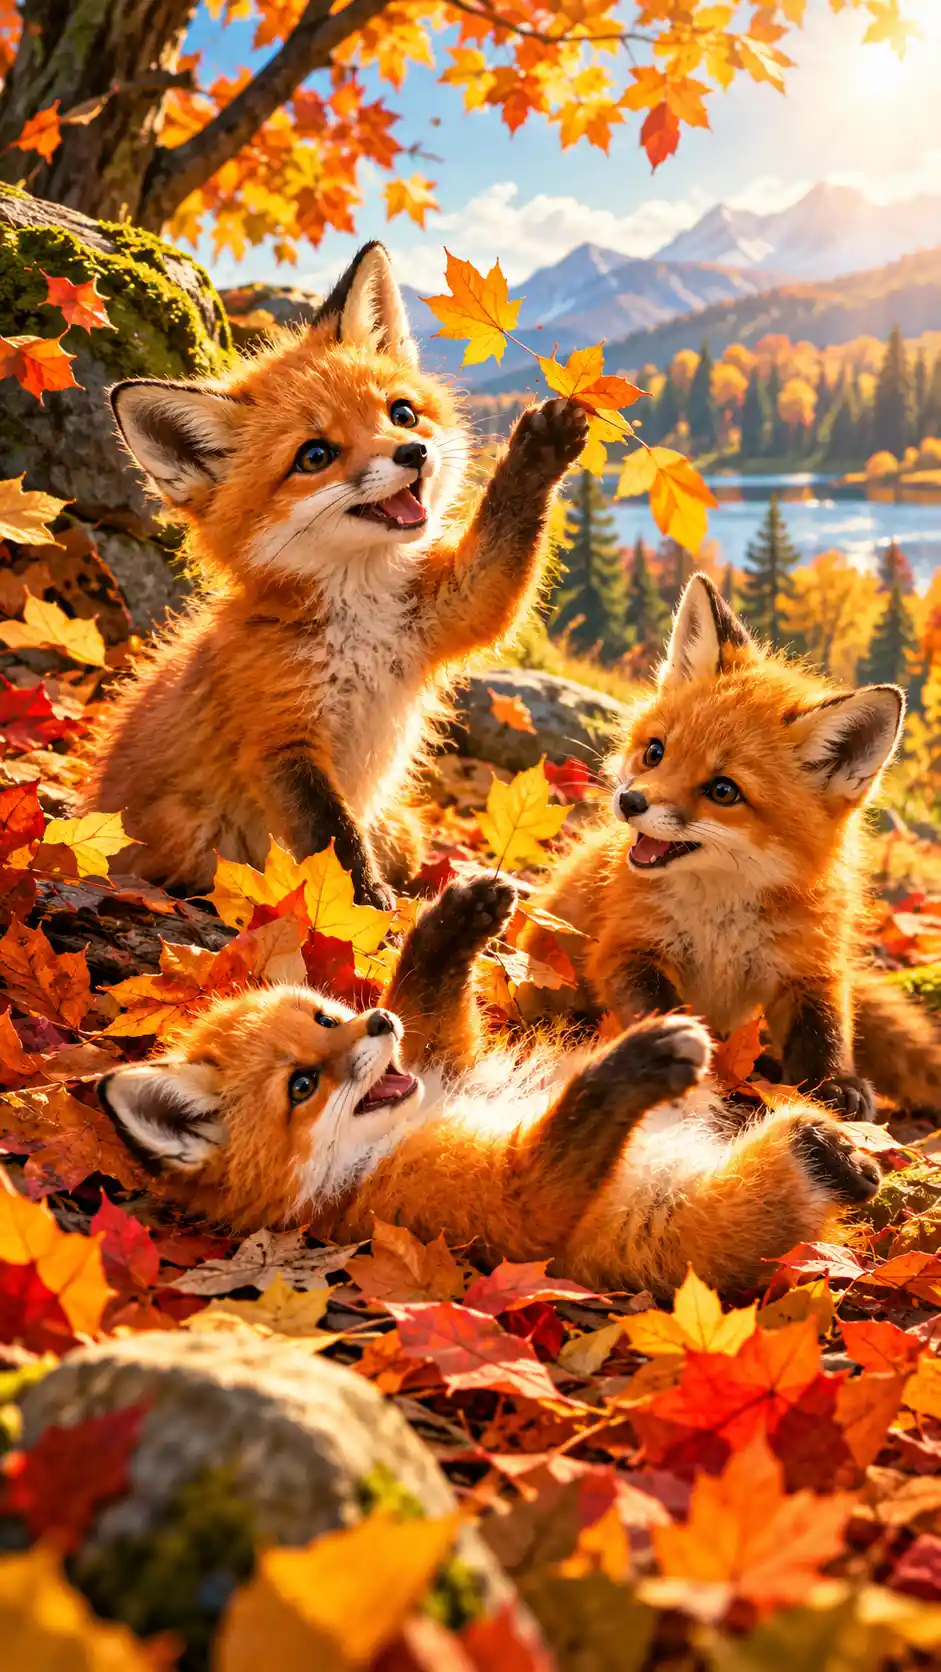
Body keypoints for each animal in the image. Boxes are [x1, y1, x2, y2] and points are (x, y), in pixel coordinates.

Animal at [84, 242, 587, 905]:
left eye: (402, 413)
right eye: (315, 455)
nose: (412, 453)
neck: (364, 617)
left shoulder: (456, 606)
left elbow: (503, 552)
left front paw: (538, 453)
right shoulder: (280, 735)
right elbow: (334, 843)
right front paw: (364, 914)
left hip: (402, 830)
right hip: (193, 841)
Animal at [99, 876, 880, 1296]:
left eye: (327, 1018)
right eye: (301, 1086)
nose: (376, 1022)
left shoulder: (447, 1058)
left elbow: (429, 1000)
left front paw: (455, 920)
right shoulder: (493, 1210)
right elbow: (574, 1121)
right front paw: (638, 1062)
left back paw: (845, 1148)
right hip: (726, 1211)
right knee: (796, 1170)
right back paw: (838, 1160)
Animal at [528, 571, 941, 1117]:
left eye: (724, 791)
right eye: (655, 752)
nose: (630, 801)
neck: (722, 920)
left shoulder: (810, 967)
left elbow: (826, 1032)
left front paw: (836, 1086)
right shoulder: (626, 948)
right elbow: (659, 1010)